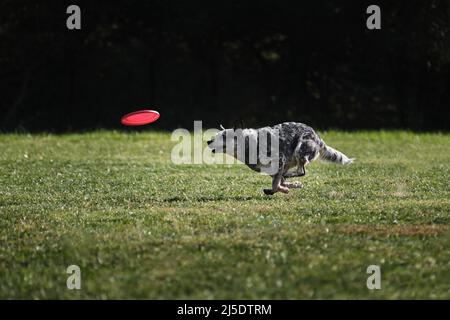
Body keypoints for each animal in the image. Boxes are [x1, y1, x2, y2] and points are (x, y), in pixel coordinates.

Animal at [207, 120, 356, 194]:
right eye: (215, 136)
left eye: (223, 136)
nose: (208, 141)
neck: (249, 143)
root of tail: (318, 137)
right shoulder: (271, 168)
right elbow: (278, 182)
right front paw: (289, 187)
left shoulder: (279, 161)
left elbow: (275, 185)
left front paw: (280, 190)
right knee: (292, 174)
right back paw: (292, 182)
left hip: (300, 149)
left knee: (301, 171)